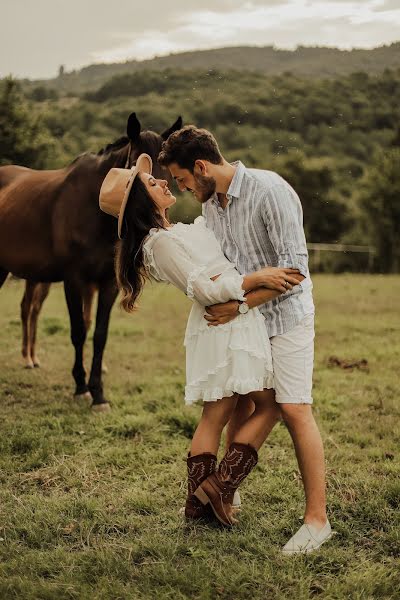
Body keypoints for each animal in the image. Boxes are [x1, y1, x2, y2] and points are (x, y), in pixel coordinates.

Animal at [0, 111, 183, 412]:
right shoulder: (74, 281)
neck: (93, 210)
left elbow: (99, 335)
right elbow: (78, 331)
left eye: (168, 175)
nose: (155, 220)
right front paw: (80, 387)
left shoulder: (108, 284)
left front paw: (98, 393)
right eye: (140, 172)